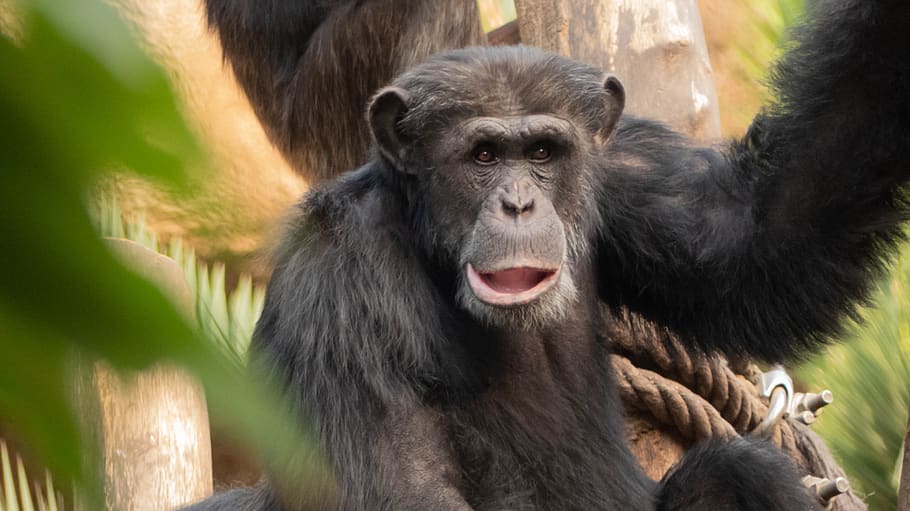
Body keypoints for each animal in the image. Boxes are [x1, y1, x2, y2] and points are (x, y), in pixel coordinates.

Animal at [189, 0, 910, 510]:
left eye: (542, 152)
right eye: (483, 155)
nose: (518, 204)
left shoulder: (622, 170)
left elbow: (761, 233)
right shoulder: (339, 281)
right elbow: (404, 487)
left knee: (739, 471)